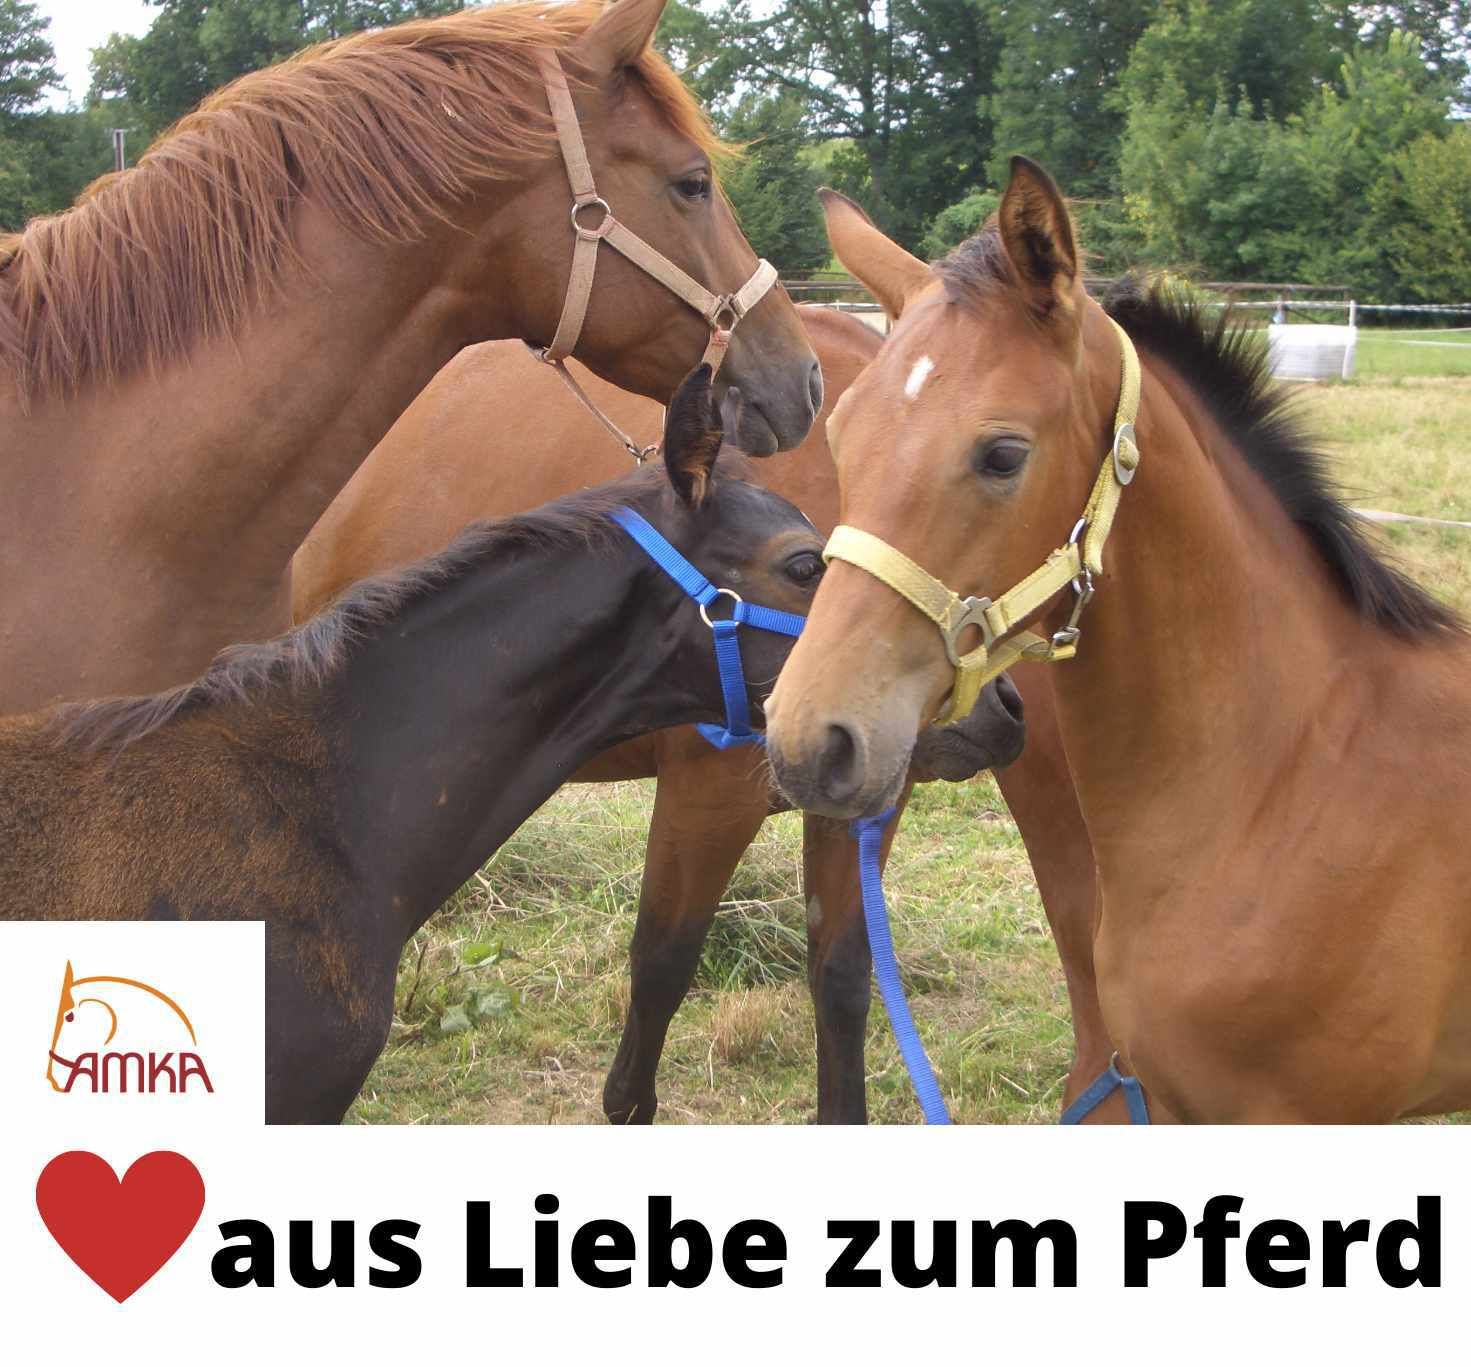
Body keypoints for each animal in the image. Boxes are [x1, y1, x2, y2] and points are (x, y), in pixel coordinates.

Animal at [293, 305, 1136, 1124]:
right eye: (805, 567)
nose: (999, 711)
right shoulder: (711, 790)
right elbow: (661, 963)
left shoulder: (866, 798)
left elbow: (841, 973)